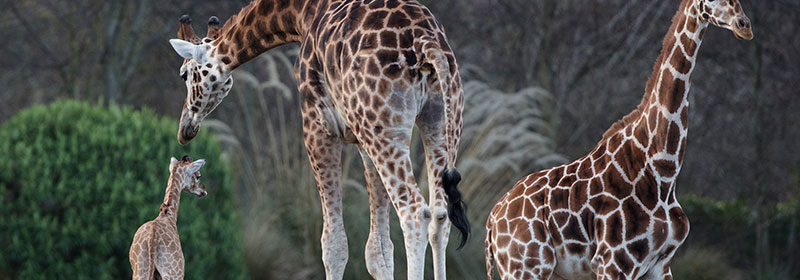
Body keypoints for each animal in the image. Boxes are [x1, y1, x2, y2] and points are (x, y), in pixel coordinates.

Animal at [484, 0, 752, 278]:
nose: (744, 26)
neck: (662, 169)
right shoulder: (614, 261)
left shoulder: (660, 264)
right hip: (526, 266)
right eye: (712, 0)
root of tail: (493, 219)